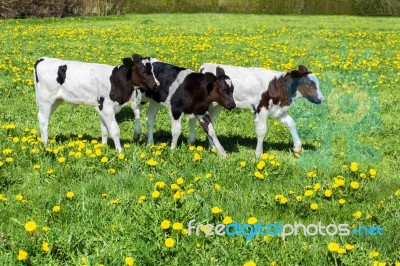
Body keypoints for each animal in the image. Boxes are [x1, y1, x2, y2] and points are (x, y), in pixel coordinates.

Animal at [194, 63, 324, 157]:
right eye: (311, 85)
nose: (322, 99)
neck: (277, 85)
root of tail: (205, 66)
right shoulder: (261, 107)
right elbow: (261, 130)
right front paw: (259, 154)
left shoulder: (277, 110)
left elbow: (291, 123)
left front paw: (297, 148)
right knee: (205, 122)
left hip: (217, 105)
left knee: (210, 122)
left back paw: (213, 148)